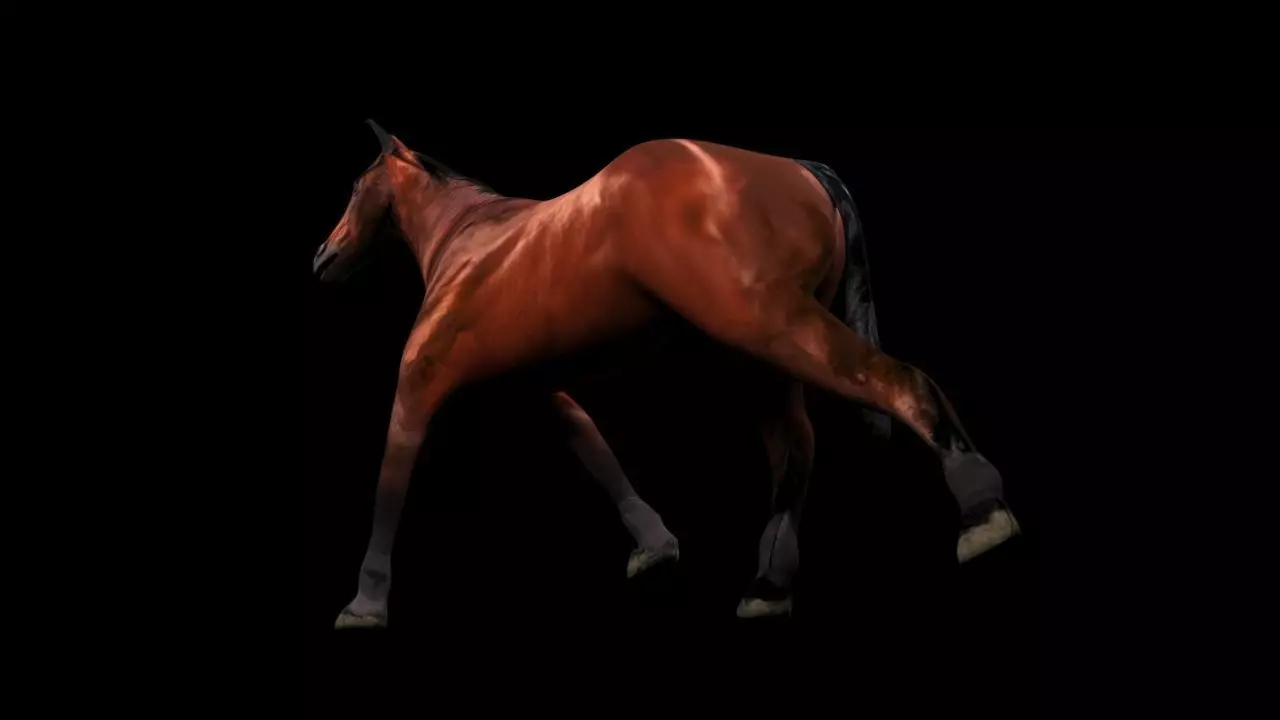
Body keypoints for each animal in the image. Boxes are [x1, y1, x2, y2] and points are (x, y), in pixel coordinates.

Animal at [314, 121, 1020, 628]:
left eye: (354, 185)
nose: (323, 258)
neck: (467, 241)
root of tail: (803, 171)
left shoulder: (419, 386)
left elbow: (390, 483)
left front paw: (363, 605)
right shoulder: (545, 389)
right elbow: (595, 451)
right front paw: (654, 545)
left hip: (769, 325)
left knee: (899, 383)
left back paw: (982, 513)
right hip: (762, 352)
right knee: (796, 447)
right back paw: (767, 587)